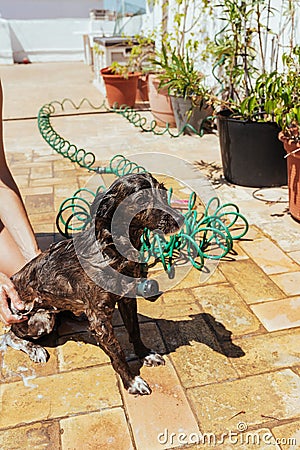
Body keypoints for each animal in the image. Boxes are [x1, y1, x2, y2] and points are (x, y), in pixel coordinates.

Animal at [2, 171, 184, 394]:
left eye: (163, 192)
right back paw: (35, 348)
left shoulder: (127, 300)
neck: (115, 249)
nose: (181, 218)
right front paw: (132, 381)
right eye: (141, 199)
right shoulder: (99, 319)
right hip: (40, 320)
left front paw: (145, 353)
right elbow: (117, 352)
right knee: (10, 336)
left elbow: (135, 330)